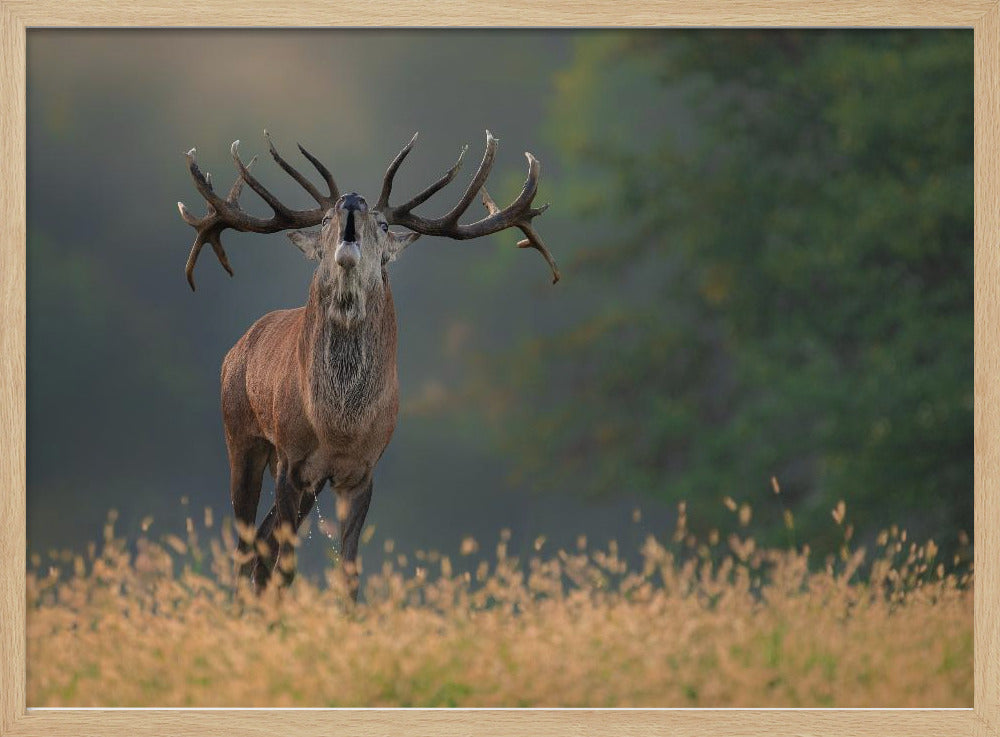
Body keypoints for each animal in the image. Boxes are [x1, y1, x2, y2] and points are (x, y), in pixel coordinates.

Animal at [177, 130, 558, 595]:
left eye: (385, 224)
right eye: (324, 219)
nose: (352, 201)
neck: (339, 426)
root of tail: (237, 348)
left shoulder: (362, 470)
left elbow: (349, 573)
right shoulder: (291, 458)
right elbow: (287, 568)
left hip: (308, 481)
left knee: (262, 547)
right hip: (241, 436)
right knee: (247, 548)